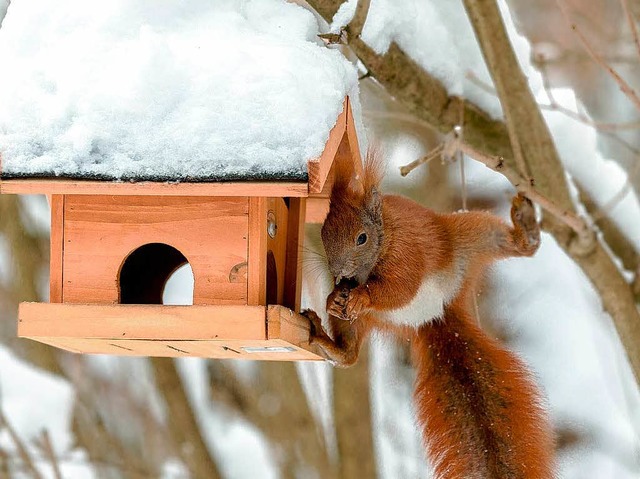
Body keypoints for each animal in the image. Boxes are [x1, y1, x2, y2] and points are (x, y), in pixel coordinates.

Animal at [304, 153, 556, 479]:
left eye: (362, 238)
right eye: (323, 234)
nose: (338, 272)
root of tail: (434, 315)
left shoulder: (407, 254)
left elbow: (401, 289)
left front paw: (362, 296)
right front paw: (333, 299)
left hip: (470, 236)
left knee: (518, 245)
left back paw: (525, 226)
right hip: (366, 320)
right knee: (349, 354)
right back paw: (326, 339)